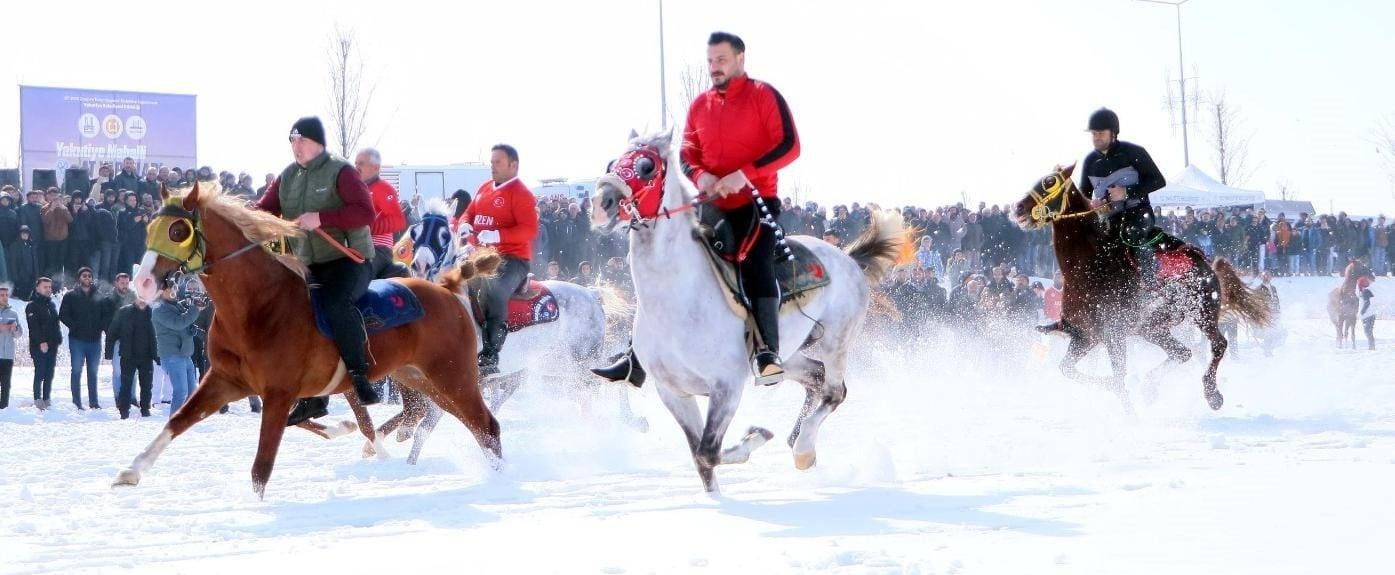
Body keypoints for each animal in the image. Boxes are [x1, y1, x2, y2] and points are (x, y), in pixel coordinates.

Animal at [111, 181, 502, 496]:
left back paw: (501, 480)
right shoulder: (224, 380)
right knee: (439, 419)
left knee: (485, 425)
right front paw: (131, 470)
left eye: (178, 230)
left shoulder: (278, 393)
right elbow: (178, 420)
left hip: (452, 376)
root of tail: (448, 288)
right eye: (150, 228)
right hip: (420, 378)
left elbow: (262, 466)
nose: (142, 282)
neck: (258, 304)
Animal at [591, 131, 903, 494]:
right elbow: (700, 457)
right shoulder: (673, 392)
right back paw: (797, 439)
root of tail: (848, 258)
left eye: (646, 166)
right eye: (612, 164)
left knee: (834, 391)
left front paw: (756, 436)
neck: (676, 301)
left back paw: (803, 448)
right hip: (787, 354)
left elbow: (709, 451)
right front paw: (716, 498)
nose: (600, 203)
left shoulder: (726, 387)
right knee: (815, 377)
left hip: (836, 340)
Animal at [1015, 163, 1277, 410]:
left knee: (1218, 345)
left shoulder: (1113, 334)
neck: (1090, 266)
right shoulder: (1085, 336)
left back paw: (1212, 395)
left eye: (1050, 182)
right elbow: (1068, 369)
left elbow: (1117, 375)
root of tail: (1206, 263)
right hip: (1152, 328)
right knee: (1182, 353)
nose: (1018, 208)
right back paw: (1149, 388)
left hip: (1202, 312)